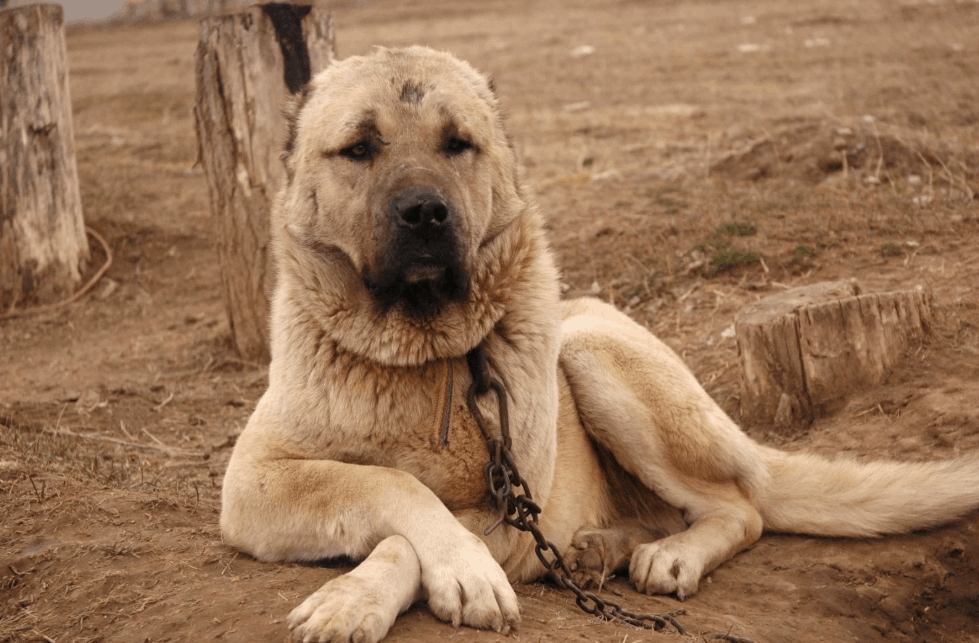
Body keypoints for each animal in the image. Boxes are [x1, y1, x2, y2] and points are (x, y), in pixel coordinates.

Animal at [220, 46, 979, 643]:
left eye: (457, 143)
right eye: (359, 148)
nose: (426, 212)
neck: (421, 352)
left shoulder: (506, 502)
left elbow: (408, 525)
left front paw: (440, 579)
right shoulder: (254, 480)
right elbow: (390, 483)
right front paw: (373, 591)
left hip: (590, 352)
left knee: (742, 510)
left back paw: (670, 556)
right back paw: (597, 550)